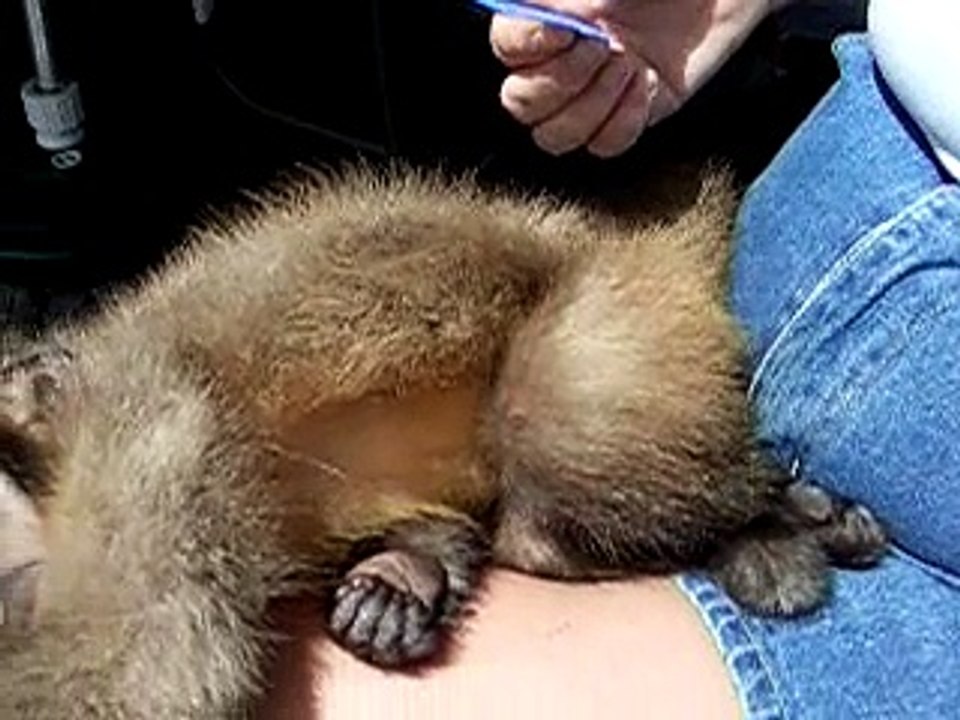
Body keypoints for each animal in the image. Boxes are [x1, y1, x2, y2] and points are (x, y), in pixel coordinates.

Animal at [0, 165, 887, 718]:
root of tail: (617, 232)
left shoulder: (139, 425)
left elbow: (149, 663)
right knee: (532, 532)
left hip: (620, 313)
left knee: (566, 429)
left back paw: (773, 523)